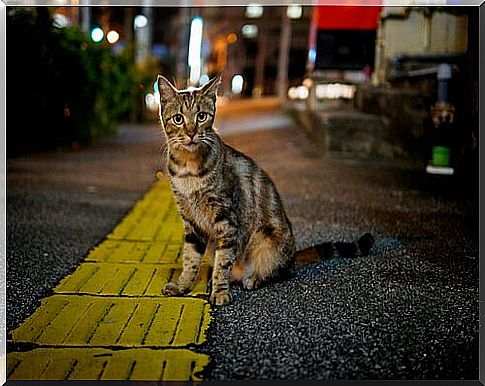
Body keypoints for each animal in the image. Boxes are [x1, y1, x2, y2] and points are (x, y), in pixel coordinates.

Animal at [157, 74, 372, 304]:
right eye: (178, 119)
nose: (191, 133)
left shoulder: (226, 220)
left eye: (201, 116)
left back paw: (254, 278)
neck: (188, 169)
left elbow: (223, 262)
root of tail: (294, 255)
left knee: (280, 271)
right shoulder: (191, 222)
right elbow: (190, 258)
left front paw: (220, 291)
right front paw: (182, 286)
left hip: (267, 241)